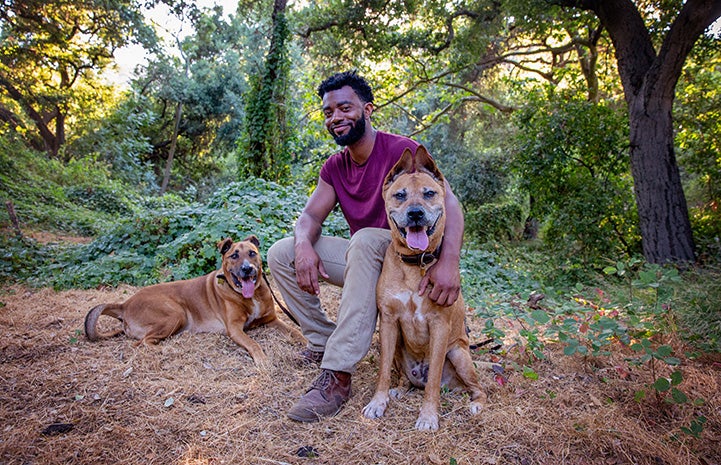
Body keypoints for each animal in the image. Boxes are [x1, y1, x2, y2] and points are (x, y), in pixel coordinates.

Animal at [84, 236, 304, 362]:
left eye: (252, 253)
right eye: (234, 256)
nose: (247, 269)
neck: (251, 295)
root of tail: (125, 304)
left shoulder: (272, 319)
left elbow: (295, 331)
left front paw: (305, 340)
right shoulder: (234, 329)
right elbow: (253, 344)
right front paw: (262, 359)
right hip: (175, 314)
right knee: (141, 344)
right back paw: (166, 350)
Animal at [362, 147, 486, 430]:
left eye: (429, 193)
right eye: (400, 195)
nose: (416, 213)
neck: (415, 263)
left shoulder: (439, 326)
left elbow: (433, 384)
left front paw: (428, 415)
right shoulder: (388, 321)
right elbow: (383, 372)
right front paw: (378, 402)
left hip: (459, 354)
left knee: (475, 387)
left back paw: (476, 404)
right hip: (398, 344)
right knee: (405, 377)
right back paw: (401, 388)